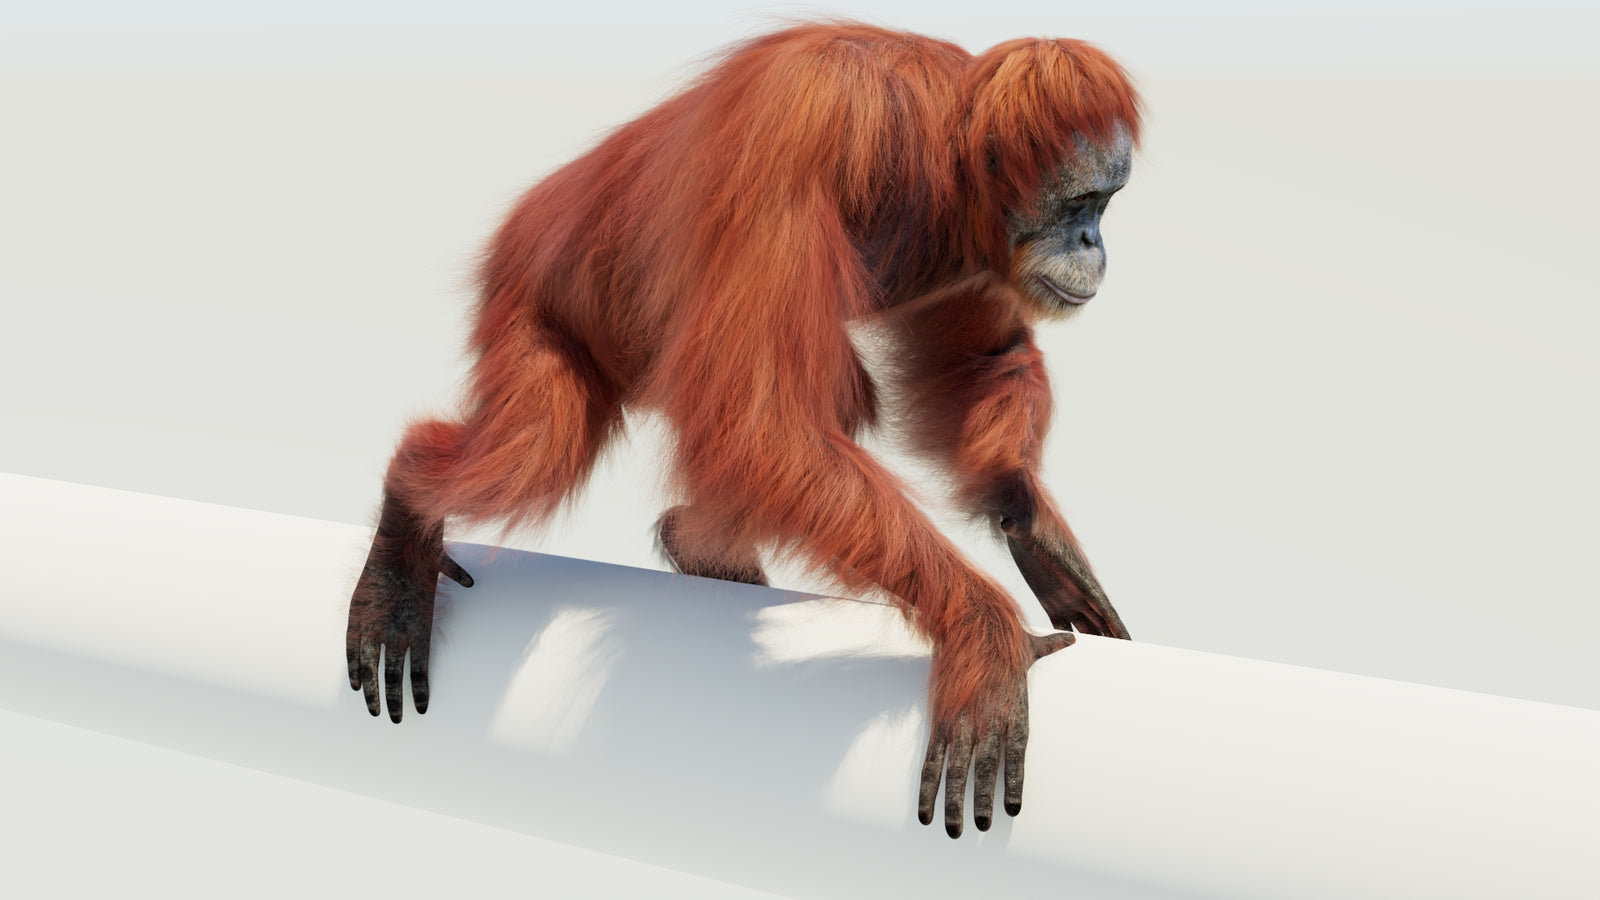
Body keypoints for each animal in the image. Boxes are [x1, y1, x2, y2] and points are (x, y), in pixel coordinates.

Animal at [346, 21, 1137, 839]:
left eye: (1106, 203)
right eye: (1081, 202)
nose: (1093, 243)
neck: (938, 152)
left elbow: (982, 358)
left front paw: (1033, 528)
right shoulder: (808, 124)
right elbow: (762, 426)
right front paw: (982, 633)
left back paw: (698, 545)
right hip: (529, 294)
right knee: (535, 455)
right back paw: (406, 523)